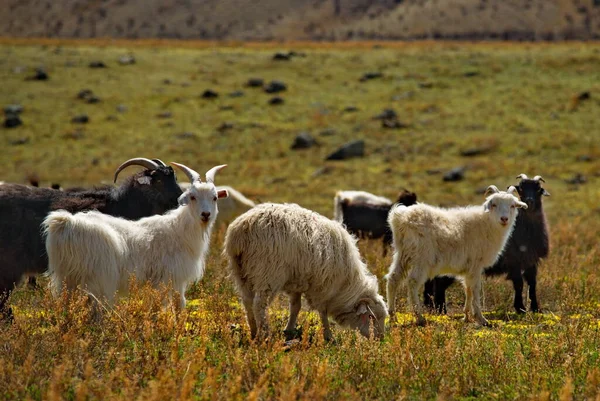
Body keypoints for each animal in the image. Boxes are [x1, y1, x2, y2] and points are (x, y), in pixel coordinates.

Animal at [43, 162, 229, 306]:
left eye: (214, 197)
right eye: (192, 197)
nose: (206, 214)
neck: (178, 230)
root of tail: (66, 222)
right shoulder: (170, 279)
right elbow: (176, 306)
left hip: (68, 279)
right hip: (98, 278)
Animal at [223, 203, 386, 340]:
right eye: (371, 317)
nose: (380, 339)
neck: (345, 285)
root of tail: (242, 229)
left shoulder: (297, 282)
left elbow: (295, 307)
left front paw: (289, 329)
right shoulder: (322, 287)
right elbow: (322, 311)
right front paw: (328, 335)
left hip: (241, 272)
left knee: (247, 302)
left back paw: (253, 330)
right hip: (267, 273)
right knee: (259, 305)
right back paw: (265, 333)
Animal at [386, 184, 528, 324]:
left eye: (512, 205)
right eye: (494, 204)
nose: (504, 219)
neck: (486, 224)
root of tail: (401, 218)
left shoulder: (469, 267)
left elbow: (468, 288)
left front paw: (467, 316)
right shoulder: (476, 265)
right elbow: (475, 289)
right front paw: (481, 318)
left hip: (402, 253)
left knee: (393, 278)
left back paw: (393, 316)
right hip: (421, 257)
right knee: (413, 282)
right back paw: (419, 317)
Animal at [422, 173, 548, 314]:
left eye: (538, 189)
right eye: (520, 189)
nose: (529, 201)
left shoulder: (531, 261)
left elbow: (532, 284)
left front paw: (535, 308)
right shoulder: (513, 261)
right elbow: (519, 284)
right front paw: (520, 308)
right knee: (439, 283)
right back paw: (441, 310)